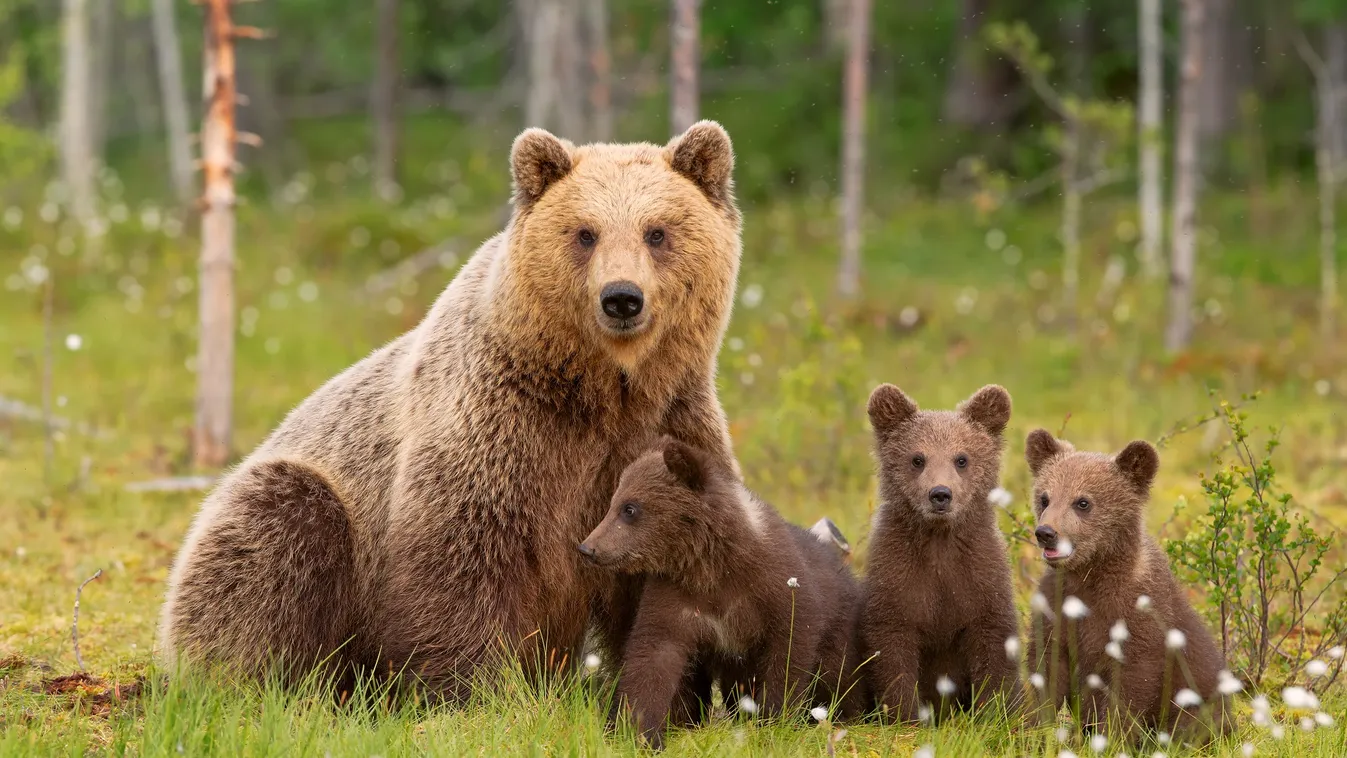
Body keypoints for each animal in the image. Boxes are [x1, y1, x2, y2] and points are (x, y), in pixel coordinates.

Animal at [162, 121, 748, 694]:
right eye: (585, 233)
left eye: (657, 232)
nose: (622, 297)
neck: (606, 390)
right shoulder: (498, 425)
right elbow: (462, 554)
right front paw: (470, 689)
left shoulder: (669, 424)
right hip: (295, 512)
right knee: (275, 534)